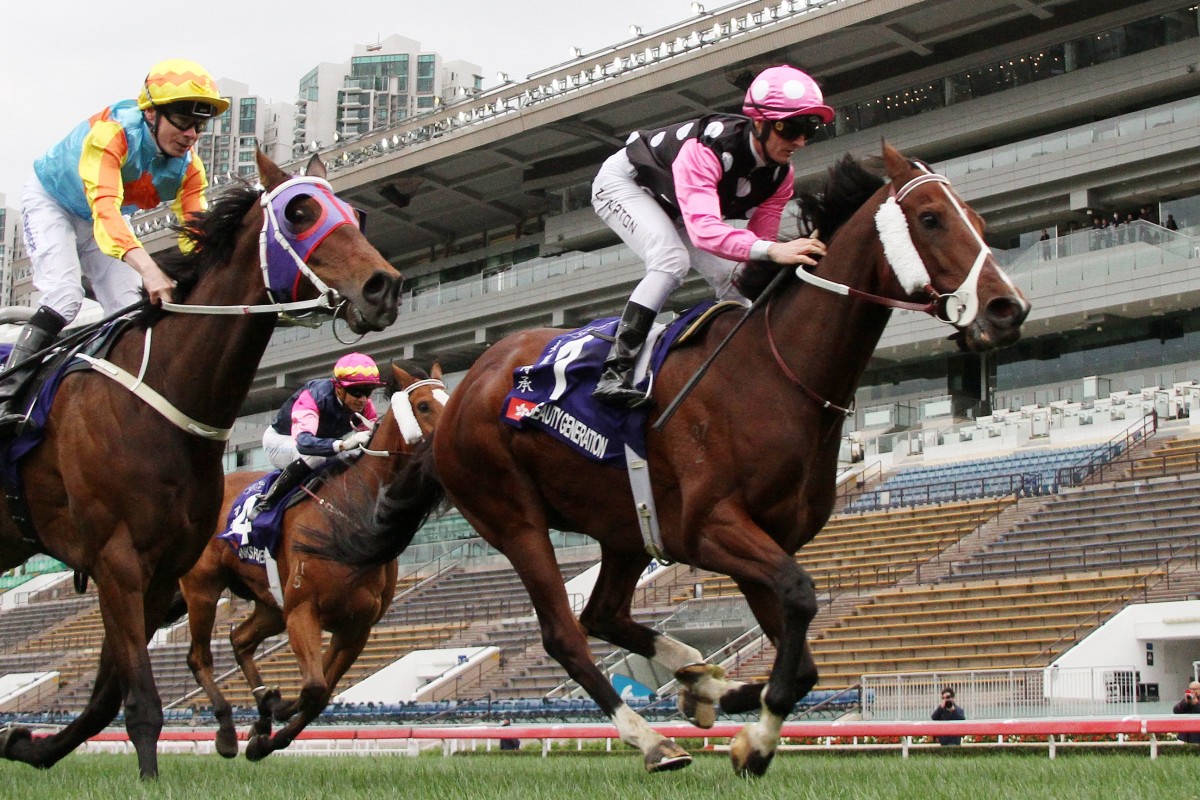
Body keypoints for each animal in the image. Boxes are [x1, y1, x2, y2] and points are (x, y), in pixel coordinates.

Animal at [0, 148, 403, 777]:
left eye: (356, 215)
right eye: (301, 212)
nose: (384, 286)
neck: (166, 389)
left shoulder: (162, 565)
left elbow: (108, 694)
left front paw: (29, 746)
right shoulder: (117, 556)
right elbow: (140, 696)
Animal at [182, 364, 451, 762]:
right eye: (423, 405)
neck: (351, 515)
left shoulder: (356, 626)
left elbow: (320, 693)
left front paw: (266, 731)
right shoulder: (303, 610)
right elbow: (313, 685)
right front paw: (268, 719)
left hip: (270, 604)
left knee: (239, 639)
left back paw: (262, 705)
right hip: (202, 589)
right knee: (199, 657)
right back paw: (228, 731)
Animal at [340, 143, 1032, 777]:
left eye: (976, 217)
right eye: (931, 218)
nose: (1009, 308)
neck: (775, 372)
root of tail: (458, 398)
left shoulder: (764, 536)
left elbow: (802, 652)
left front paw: (736, 709)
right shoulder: (709, 527)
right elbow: (801, 599)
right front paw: (754, 736)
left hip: (623, 527)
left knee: (603, 612)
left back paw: (698, 681)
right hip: (514, 519)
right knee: (566, 634)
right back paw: (654, 739)